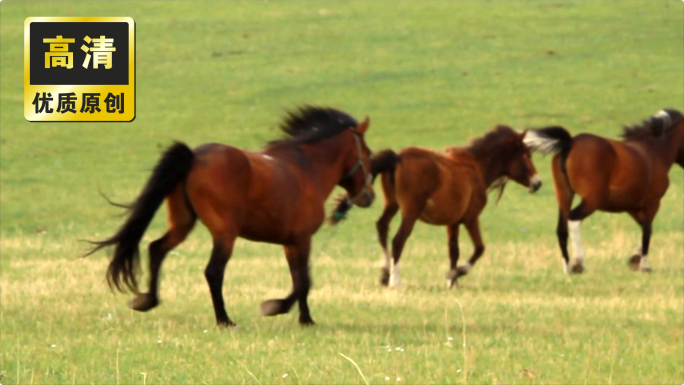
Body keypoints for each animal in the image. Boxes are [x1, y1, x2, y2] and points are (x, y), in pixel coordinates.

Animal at [87, 106, 374, 326]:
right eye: (369, 154)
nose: (368, 196)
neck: (306, 169)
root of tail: (194, 156)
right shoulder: (302, 239)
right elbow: (304, 281)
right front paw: (277, 307)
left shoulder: (290, 243)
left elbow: (299, 278)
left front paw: (304, 318)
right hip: (225, 234)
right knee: (213, 272)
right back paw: (224, 320)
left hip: (183, 223)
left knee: (157, 249)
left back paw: (147, 300)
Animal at [334, 126, 544, 288]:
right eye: (527, 155)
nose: (538, 183)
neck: (475, 167)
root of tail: (397, 158)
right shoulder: (471, 218)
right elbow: (479, 248)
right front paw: (456, 274)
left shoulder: (453, 222)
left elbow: (454, 250)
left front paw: (453, 283)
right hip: (410, 213)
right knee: (398, 240)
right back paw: (395, 281)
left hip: (392, 205)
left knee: (382, 228)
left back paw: (385, 274)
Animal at [524, 107, 684, 272]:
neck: (652, 151)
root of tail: (570, 142)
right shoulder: (652, 203)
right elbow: (647, 230)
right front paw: (644, 265)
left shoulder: (632, 206)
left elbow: (644, 228)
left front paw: (634, 258)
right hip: (591, 200)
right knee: (573, 219)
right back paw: (579, 262)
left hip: (564, 195)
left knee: (561, 229)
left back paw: (568, 267)